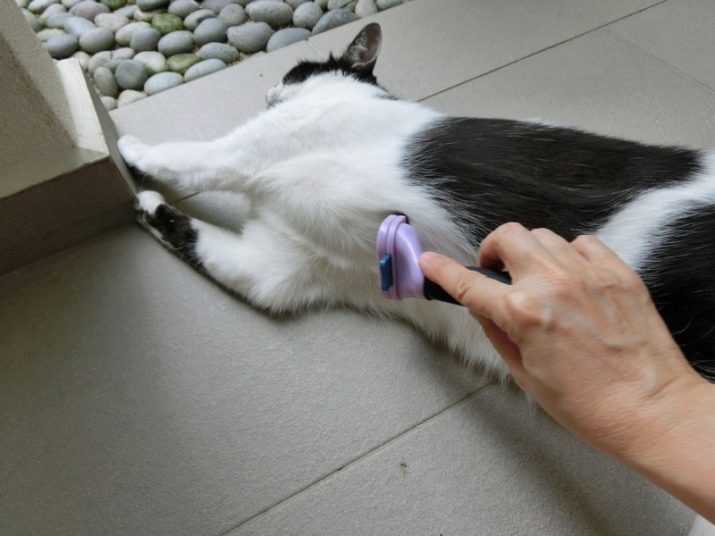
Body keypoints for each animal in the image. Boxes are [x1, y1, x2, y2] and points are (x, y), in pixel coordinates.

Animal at [118, 23, 715, 381]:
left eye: (294, 70)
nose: (267, 91)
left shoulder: (249, 150)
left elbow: (187, 156)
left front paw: (124, 146)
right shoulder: (280, 266)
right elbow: (209, 249)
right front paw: (147, 208)